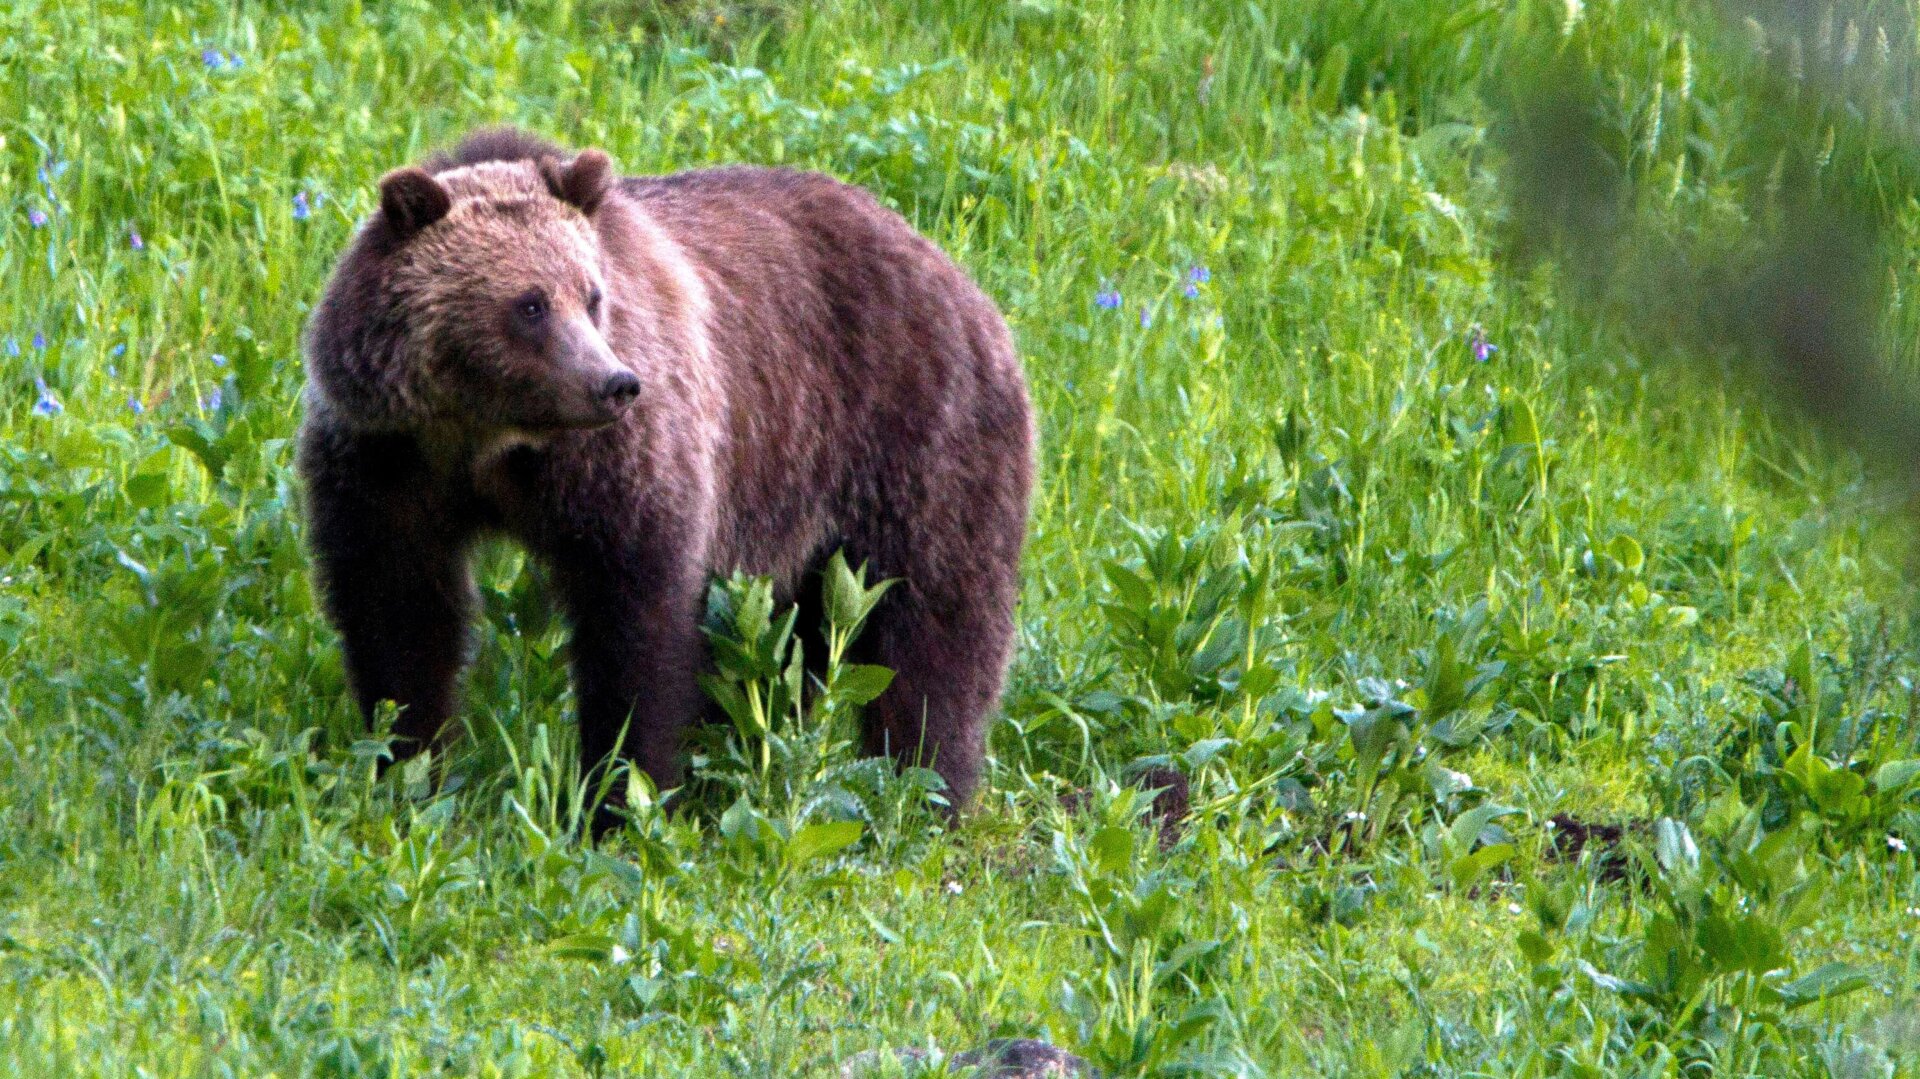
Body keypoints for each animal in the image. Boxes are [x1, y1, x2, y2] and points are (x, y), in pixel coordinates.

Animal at [298, 127, 1033, 826]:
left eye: (592, 295)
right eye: (530, 304)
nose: (613, 383)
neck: (487, 439)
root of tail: (957, 274)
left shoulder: (619, 467)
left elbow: (636, 624)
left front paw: (622, 794)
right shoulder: (388, 462)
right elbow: (399, 612)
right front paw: (407, 764)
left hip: (913, 438)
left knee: (934, 624)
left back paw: (926, 787)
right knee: (793, 643)